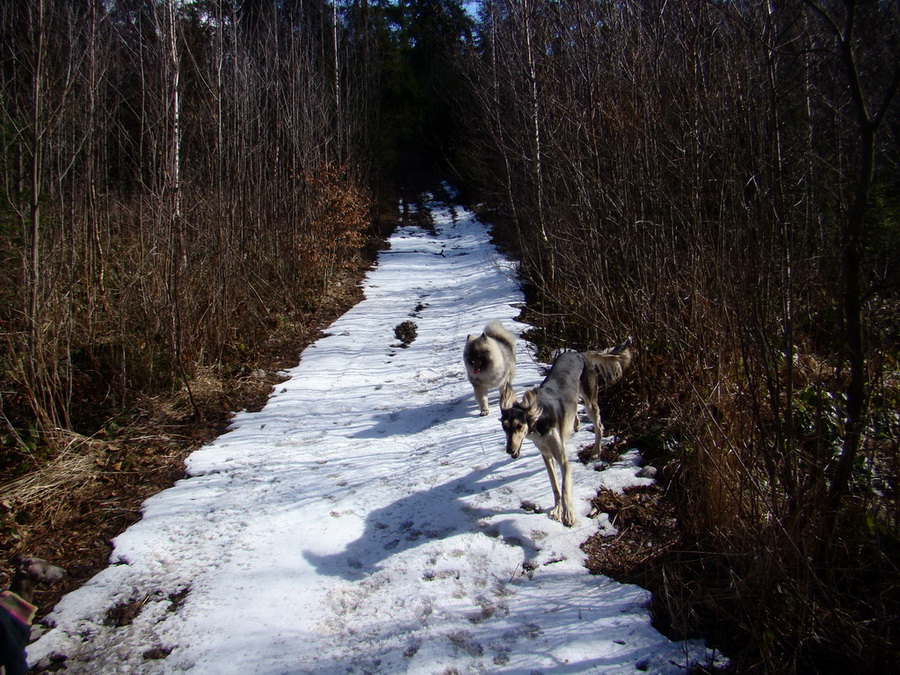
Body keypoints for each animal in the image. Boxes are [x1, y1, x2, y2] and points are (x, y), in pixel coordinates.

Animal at [500, 344, 632, 528]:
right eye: (504, 427)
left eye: (519, 426)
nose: (509, 450)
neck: (539, 421)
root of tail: (579, 354)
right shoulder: (547, 456)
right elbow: (555, 485)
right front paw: (557, 509)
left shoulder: (563, 461)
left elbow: (564, 488)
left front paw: (568, 514)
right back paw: (574, 425)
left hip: (590, 401)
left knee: (599, 425)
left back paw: (596, 451)